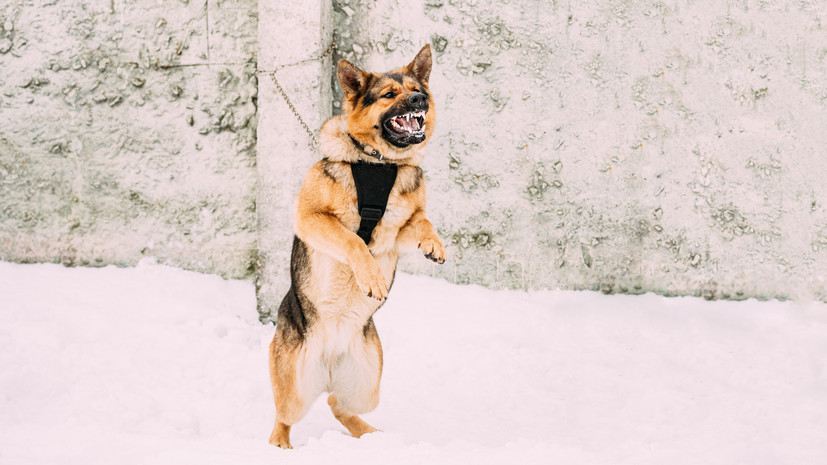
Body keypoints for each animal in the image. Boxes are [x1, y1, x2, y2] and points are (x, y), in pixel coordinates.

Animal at [270, 45, 446, 448]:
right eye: (389, 95)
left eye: (417, 90)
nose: (421, 100)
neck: (380, 164)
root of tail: (329, 361)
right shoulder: (311, 217)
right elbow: (352, 239)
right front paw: (371, 278)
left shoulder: (398, 231)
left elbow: (423, 221)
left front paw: (434, 244)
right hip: (294, 389)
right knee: (284, 415)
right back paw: (279, 446)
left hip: (367, 386)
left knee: (337, 403)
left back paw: (370, 435)